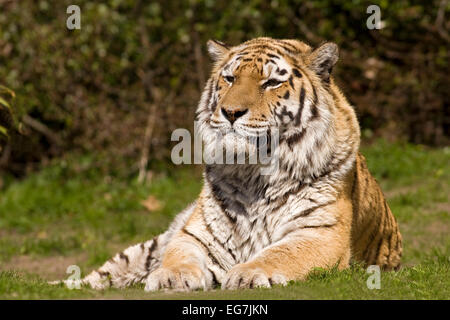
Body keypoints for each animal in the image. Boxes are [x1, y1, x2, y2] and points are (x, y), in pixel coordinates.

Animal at [57, 37, 404, 290]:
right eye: (229, 78)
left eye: (270, 83)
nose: (231, 112)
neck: (255, 175)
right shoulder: (196, 234)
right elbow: (179, 255)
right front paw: (171, 277)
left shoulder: (319, 233)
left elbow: (280, 253)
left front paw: (248, 274)